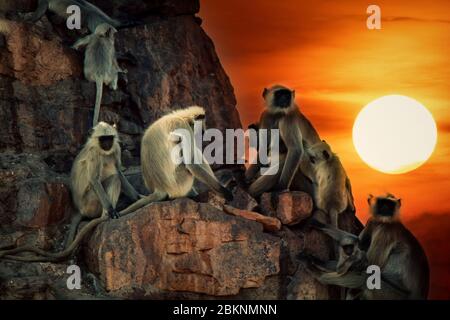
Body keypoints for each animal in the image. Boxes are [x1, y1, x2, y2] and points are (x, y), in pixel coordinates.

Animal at [0, 121, 141, 262]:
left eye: (109, 138)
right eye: (103, 139)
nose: (107, 144)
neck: (102, 150)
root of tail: (79, 209)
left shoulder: (115, 149)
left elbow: (119, 172)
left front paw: (138, 197)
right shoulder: (94, 153)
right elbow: (95, 180)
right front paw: (112, 211)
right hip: (90, 203)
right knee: (113, 178)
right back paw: (105, 215)